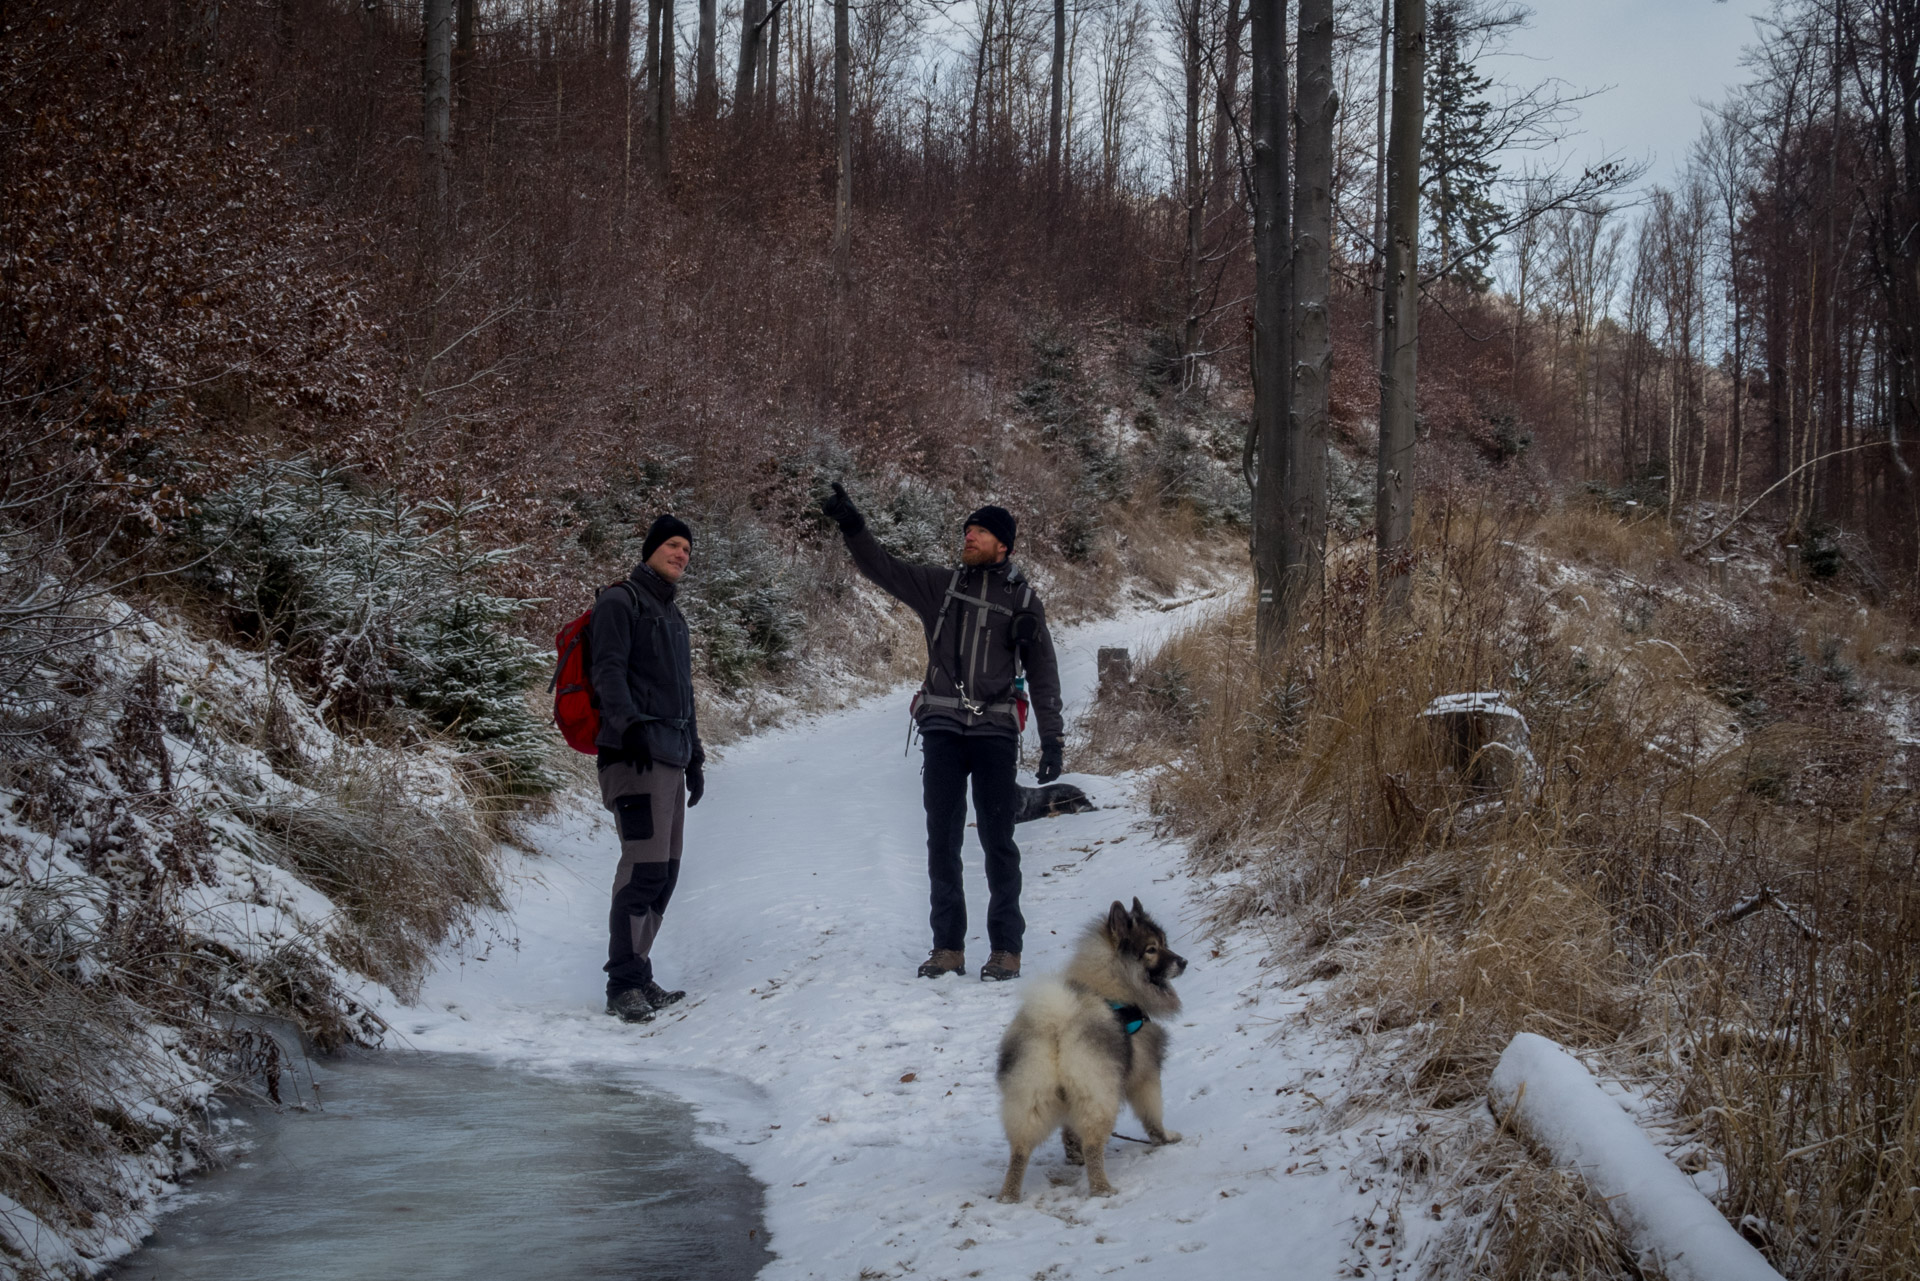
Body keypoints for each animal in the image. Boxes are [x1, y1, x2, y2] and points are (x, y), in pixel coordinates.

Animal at [998, 898, 1175, 1206]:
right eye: (1152, 949)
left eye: (1164, 943)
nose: (1182, 962)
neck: (1112, 983)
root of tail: (1058, 1023)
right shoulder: (1146, 1074)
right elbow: (1153, 1115)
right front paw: (1164, 1139)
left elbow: (1069, 1130)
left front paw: (1072, 1154)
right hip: (1099, 1095)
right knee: (1094, 1144)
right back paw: (1102, 1188)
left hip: (1030, 1096)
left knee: (1019, 1149)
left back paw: (1009, 1195)